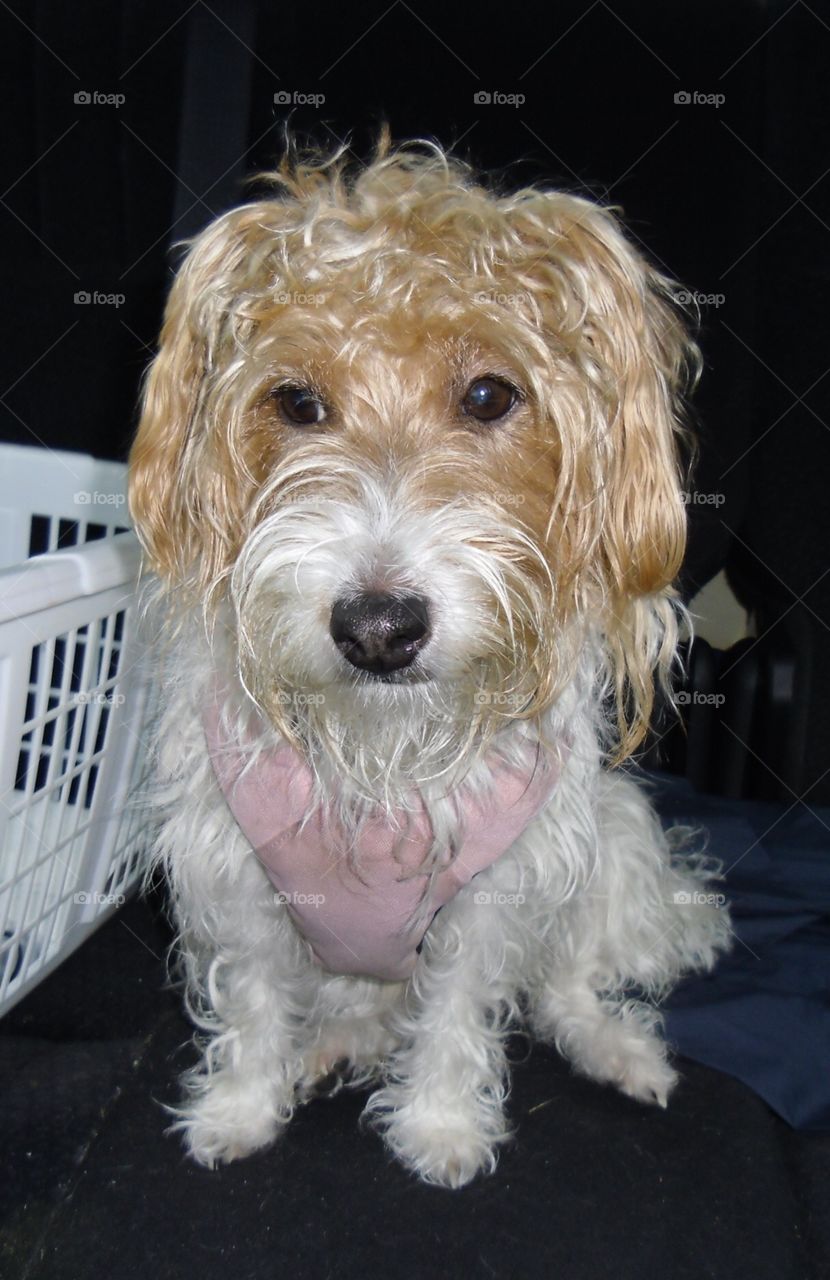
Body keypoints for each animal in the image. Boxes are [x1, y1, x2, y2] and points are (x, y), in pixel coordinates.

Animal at [126, 132, 727, 1187]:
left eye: (490, 395)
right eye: (296, 402)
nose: (377, 628)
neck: (383, 754)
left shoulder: (494, 889)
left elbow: (456, 1011)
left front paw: (441, 1127)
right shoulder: (235, 877)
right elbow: (252, 1003)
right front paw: (240, 1108)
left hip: (609, 833)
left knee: (565, 989)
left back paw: (618, 1051)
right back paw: (332, 1048)